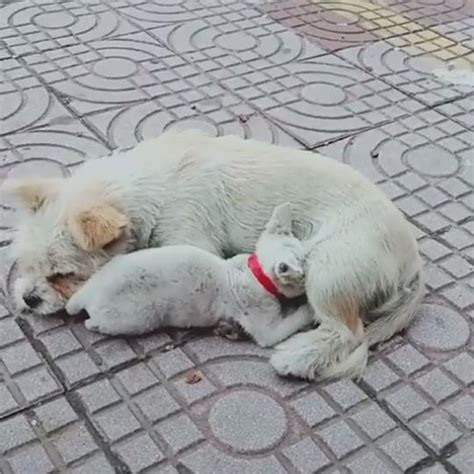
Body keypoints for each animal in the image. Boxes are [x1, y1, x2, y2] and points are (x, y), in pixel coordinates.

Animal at [65, 202, 312, 346]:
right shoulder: (265, 330)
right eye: (304, 276)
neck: (253, 272)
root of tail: (87, 293)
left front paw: (229, 329)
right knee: (94, 324)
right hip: (133, 319)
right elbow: (288, 325)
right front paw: (308, 310)